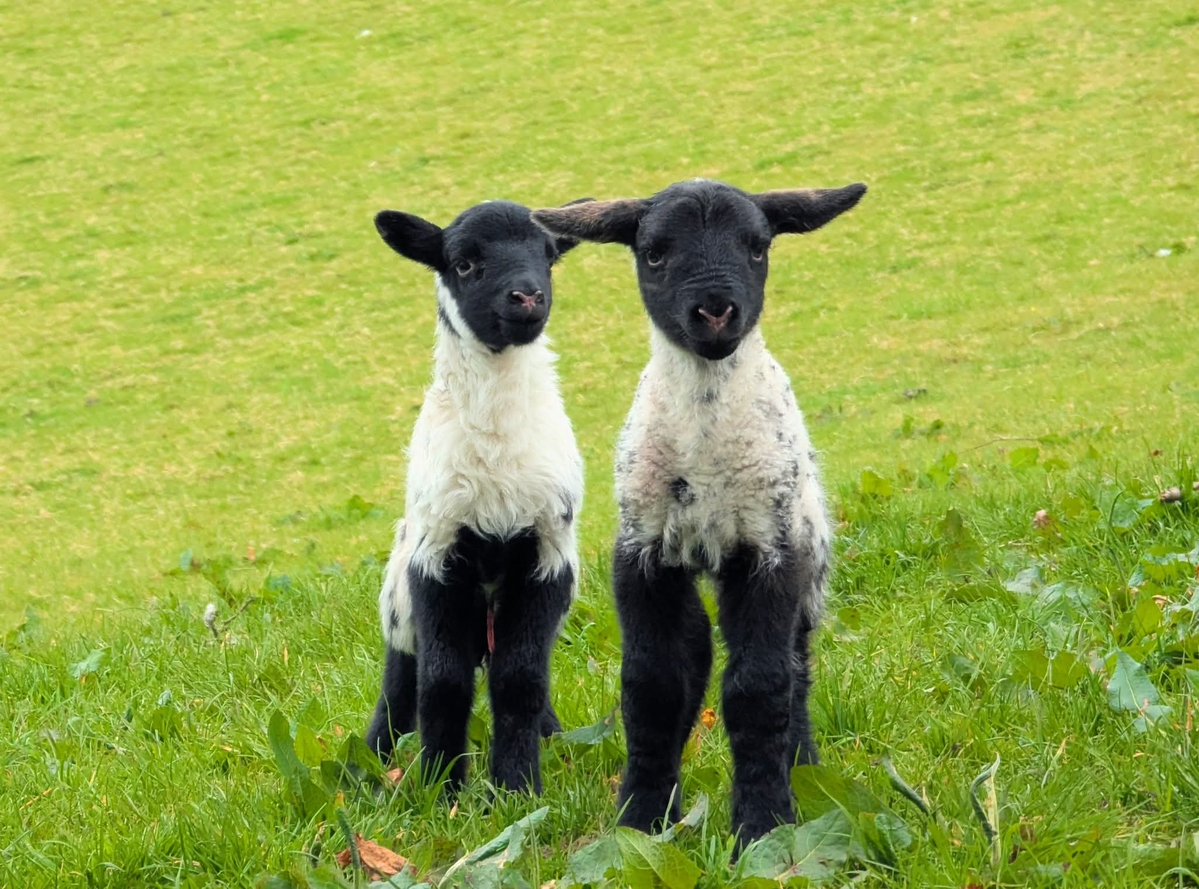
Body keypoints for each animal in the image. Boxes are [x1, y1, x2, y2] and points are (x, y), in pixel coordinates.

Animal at [365, 200, 584, 795]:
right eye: (463, 263)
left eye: (549, 255)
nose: (528, 296)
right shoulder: (436, 556)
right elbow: (442, 683)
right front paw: (443, 789)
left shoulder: (549, 554)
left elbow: (521, 681)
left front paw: (517, 787)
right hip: (400, 605)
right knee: (399, 687)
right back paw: (368, 762)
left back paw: (554, 739)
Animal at [532, 179, 865, 845]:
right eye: (654, 252)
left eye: (758, 246)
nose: (715, 312)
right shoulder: (644, 555)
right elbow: (654, 686)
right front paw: (641, 820)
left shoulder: (769, 553)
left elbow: (758, 688)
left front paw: (763, 824)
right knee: (698, 657)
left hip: (808, 554)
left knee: (796, 668)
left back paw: (804, 769)